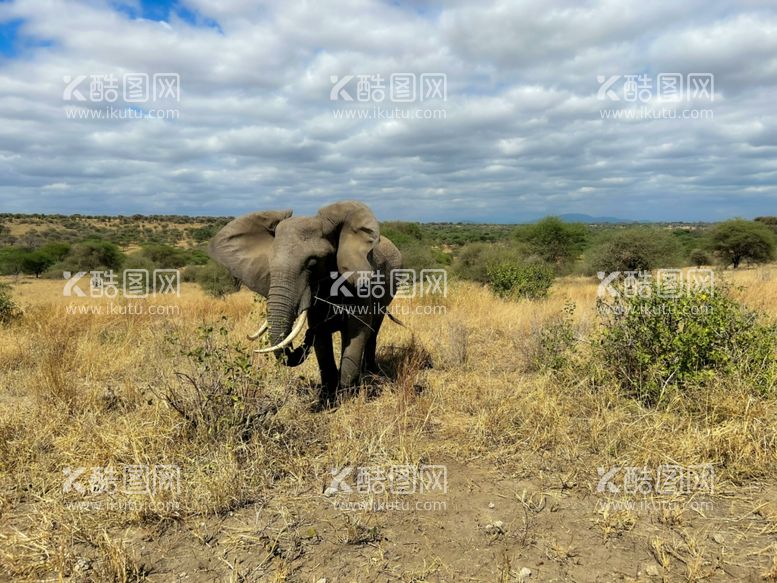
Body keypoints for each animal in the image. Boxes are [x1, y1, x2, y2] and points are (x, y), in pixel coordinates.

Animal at [206, 200, 400, 402]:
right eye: (269, 263)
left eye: (313, 263)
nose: (307, 336)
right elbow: (322, 340)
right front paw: (328, 398)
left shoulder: (359, 283)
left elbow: (357, 330)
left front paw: (348, 396)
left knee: (373, 330)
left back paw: (370, 372)